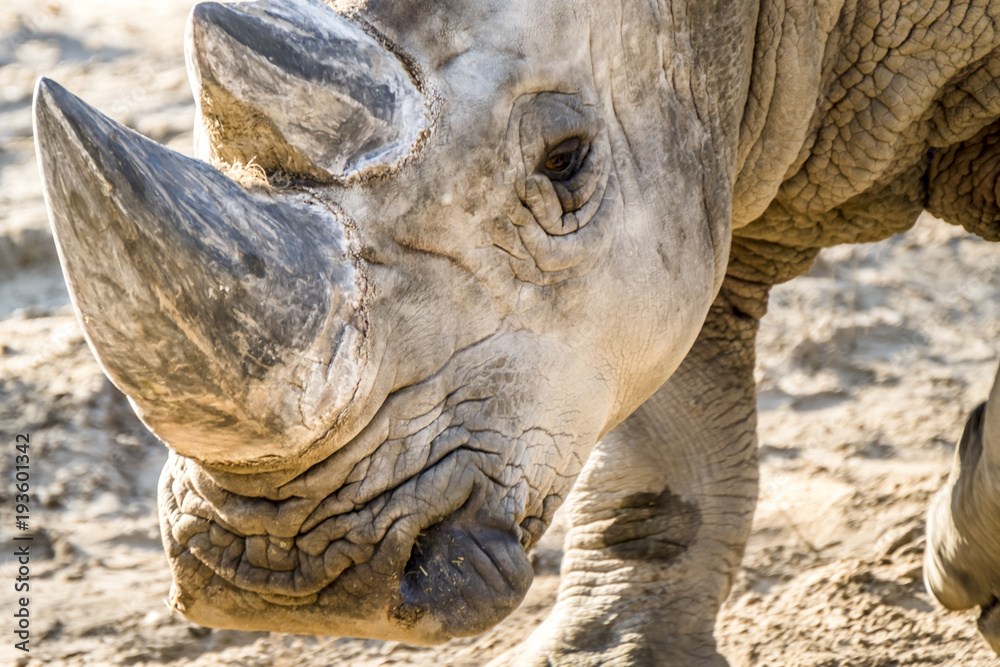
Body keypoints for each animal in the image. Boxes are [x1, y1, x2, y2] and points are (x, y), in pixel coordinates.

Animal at [31, 0, 1000, 663]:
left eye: (566, 162)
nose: (282, 576)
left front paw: (959, 568)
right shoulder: (706, 155)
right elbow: (671, 428)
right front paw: (612, 653)